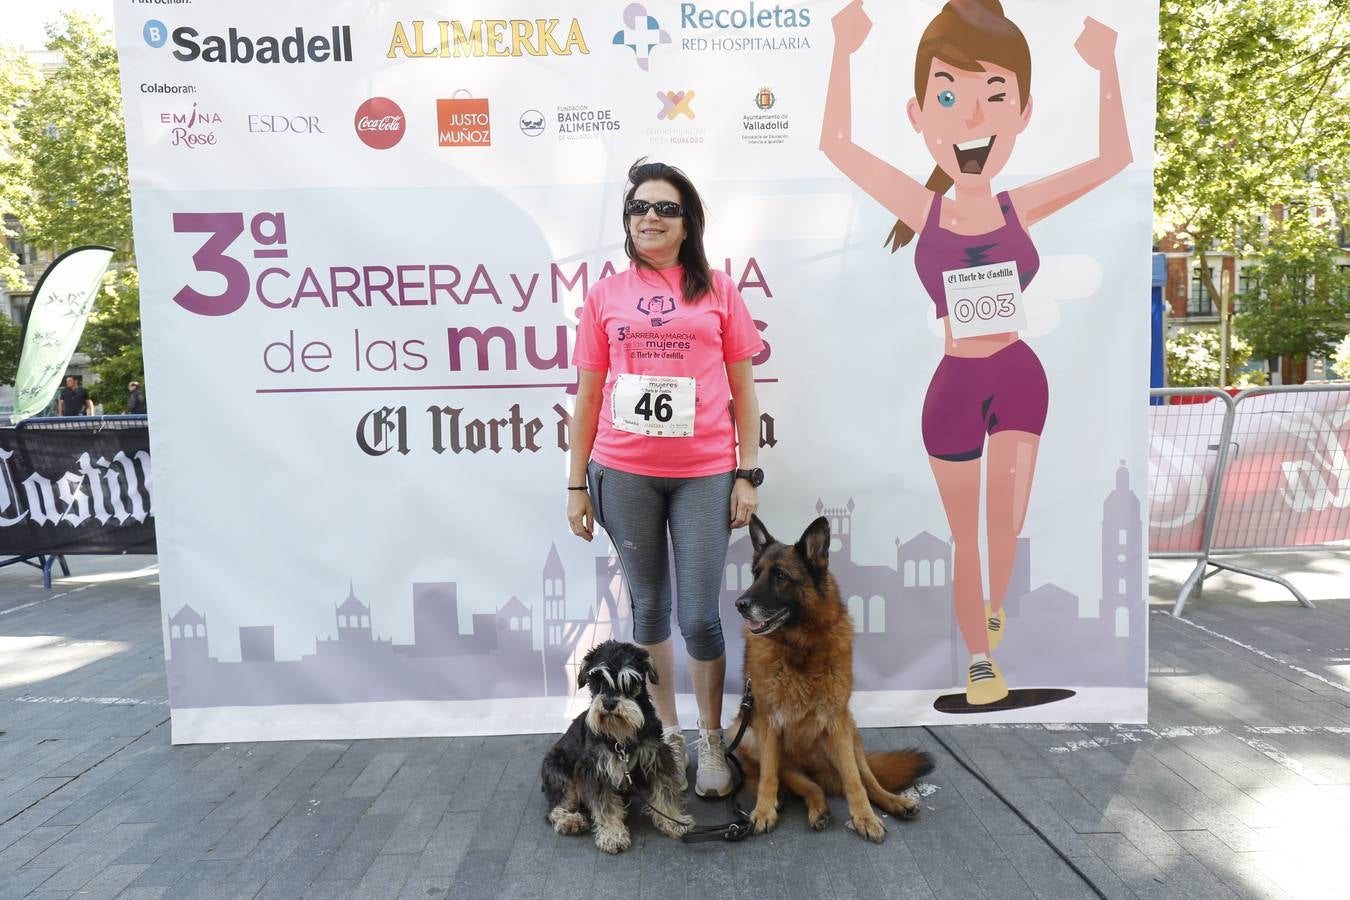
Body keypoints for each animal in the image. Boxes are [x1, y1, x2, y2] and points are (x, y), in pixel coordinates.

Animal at [537, 639, 691, 852]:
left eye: (630, 681)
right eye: (597, 680)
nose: (609, 704)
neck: (621, 736)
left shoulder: (656, 760)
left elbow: (665, 793)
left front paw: (674, 821)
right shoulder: (597, 771)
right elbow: (605, 807)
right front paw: (612, 835)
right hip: (562, 776)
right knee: (555, 808)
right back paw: (571, 821)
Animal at [734, 518, 934, 841]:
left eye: (780, 576)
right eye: (755, 574)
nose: (739, 604)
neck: (800, 649)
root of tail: (814, 765)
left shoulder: (837, 724)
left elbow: (854, 781)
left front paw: (865, 817)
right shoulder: (769, 728)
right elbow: (768, 777)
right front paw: (763, 810)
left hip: (850, 734)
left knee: (868, 779)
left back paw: (894, 801)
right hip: (750, 739)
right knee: (806, 785)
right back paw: (811, 807)